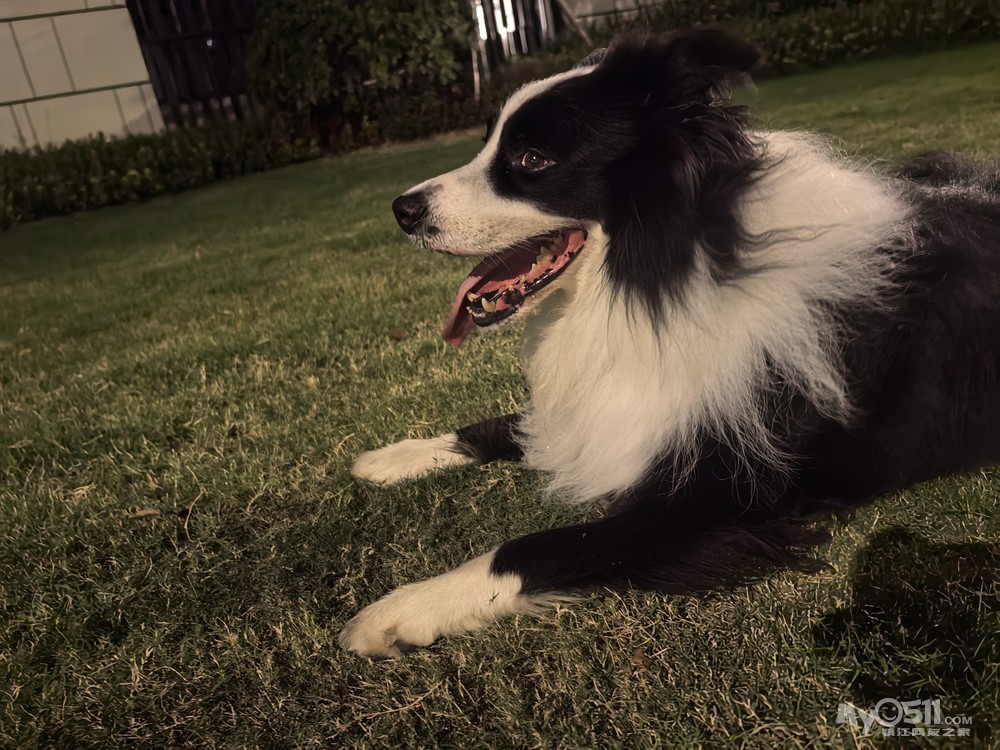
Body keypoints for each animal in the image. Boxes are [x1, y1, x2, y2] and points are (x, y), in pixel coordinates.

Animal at [340, 29, 1000, 658]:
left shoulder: (719, 500)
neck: (673, 270)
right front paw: (397, 457)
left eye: (533, 158)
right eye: (488, 144)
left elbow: (538, 547)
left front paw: (405, 608)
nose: (402, 210)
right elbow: (510, 423)